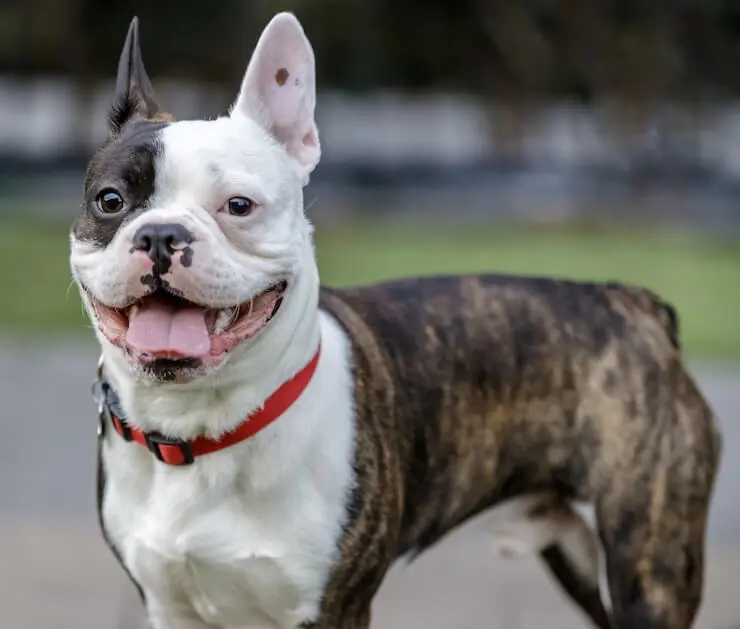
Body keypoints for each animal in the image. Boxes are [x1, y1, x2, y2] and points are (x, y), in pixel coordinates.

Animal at [71, 11, 724, 628]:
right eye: (110, 201)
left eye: (238, 206)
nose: (161, 235)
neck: (200, 429)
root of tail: (633, 304)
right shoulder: (170, 605)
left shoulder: (334, 608)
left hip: (647, 571)